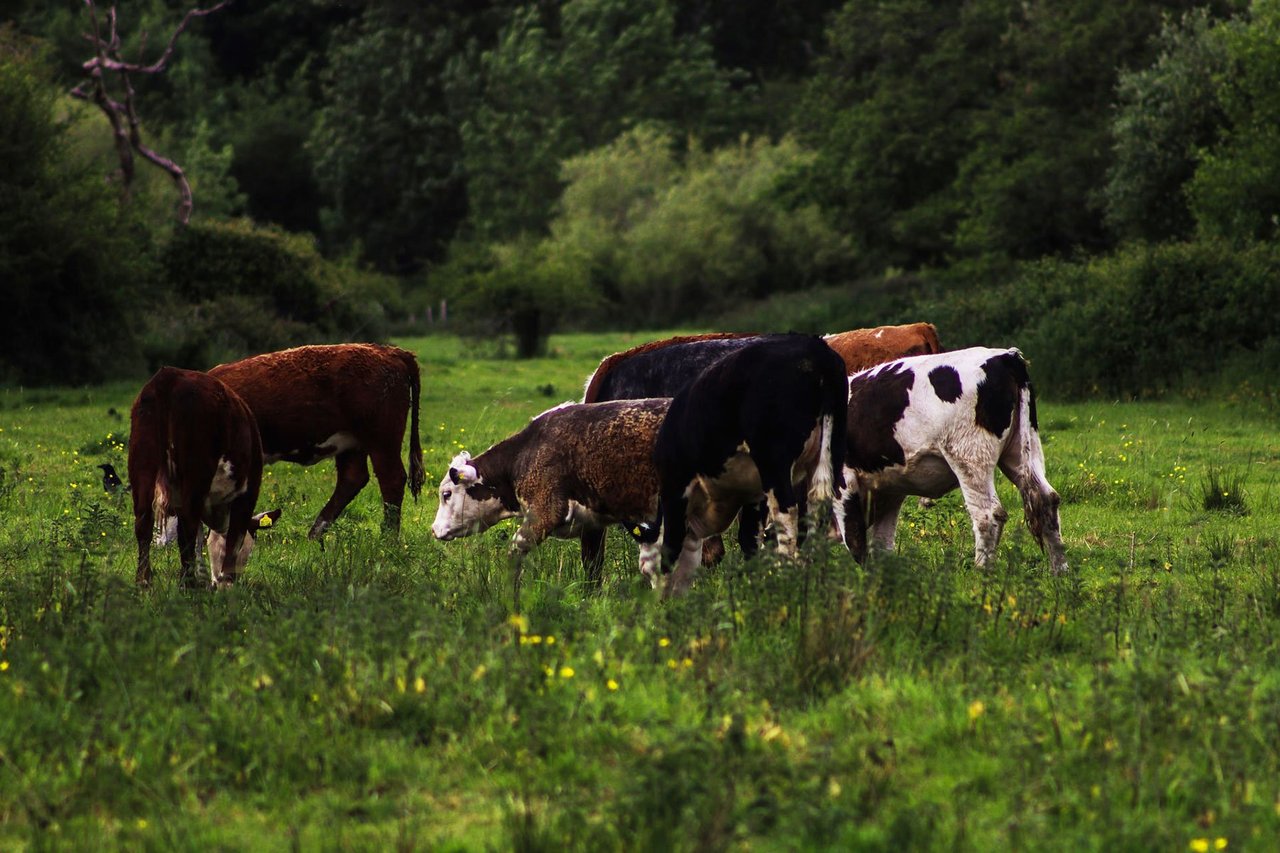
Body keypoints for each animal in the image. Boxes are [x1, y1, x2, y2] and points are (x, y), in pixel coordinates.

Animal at [128, 361, 279, 589]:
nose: (217, 581)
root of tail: (168, 376)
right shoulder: (247, 494)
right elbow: (234, 538)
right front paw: (227, 583)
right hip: (196, 475)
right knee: (187, 526)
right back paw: (188, 583)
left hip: (143, 466)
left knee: (143, 522)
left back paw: (144, 582)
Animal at [209, 340, 427, 535]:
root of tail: (390, 351)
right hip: (353, 444)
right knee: (352, 479)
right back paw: (314, 536)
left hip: (381, 442)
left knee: (391, 479)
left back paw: (387, 540)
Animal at [432, 399, 670, 596]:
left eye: (446, 494)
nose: (434, 529)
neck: (524, 453)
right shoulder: (594, 523)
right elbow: (593, 563)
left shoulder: (545, 512)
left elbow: (514, 553)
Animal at [650, 335, 849, 594]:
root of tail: (814, 348)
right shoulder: (754, 495)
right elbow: (749, 539)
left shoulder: (675, 489)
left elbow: (670, 550)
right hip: (831, 452)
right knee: (817, 512)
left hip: (775, 462)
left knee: (787, 516)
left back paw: (787, 580)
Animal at [839, 343, 1070, 571]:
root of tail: (1006, 356)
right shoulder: (891, 491)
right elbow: (881, 544)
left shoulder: (845, 484)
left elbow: (855, 540)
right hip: (1023, 451)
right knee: (1047, 499)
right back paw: (1059, 571)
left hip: (970, 458)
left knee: (988, 515)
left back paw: (982, 571)